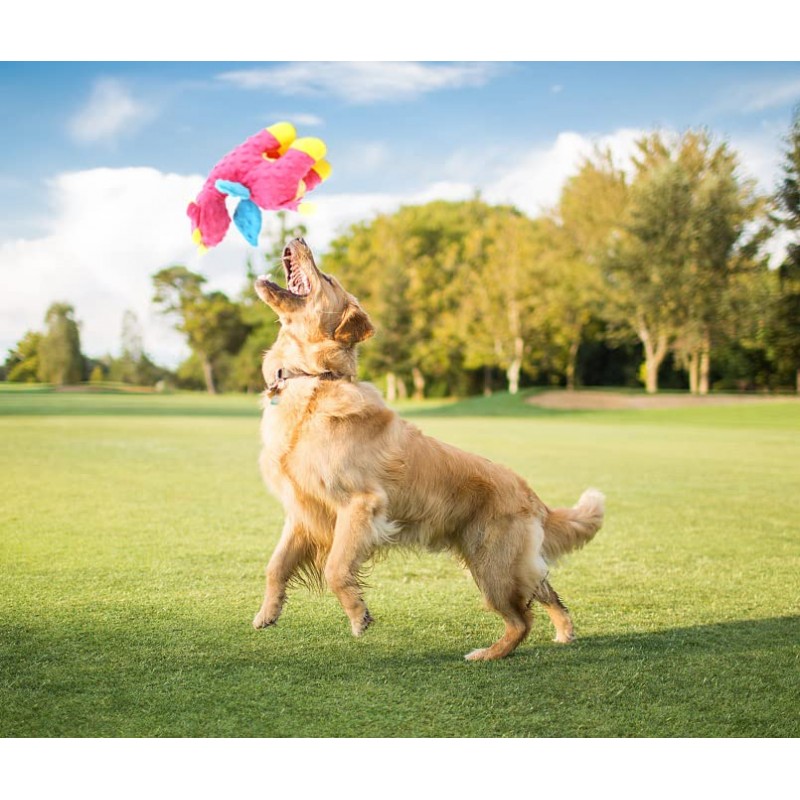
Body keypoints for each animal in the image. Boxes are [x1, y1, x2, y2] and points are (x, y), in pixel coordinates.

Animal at [253, 239, 604, 664]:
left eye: (328, 279)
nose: (300, 239)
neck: (315, 381)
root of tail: (532, 495)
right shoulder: (302, 511)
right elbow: (275, 566)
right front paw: (267, 613)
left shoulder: (361, 505)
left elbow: (336, 568)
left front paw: (358, 615)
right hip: (504, 564)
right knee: (545, 590)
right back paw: (564, 632)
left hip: (492, 567)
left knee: (522, 620)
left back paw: (487, 654)